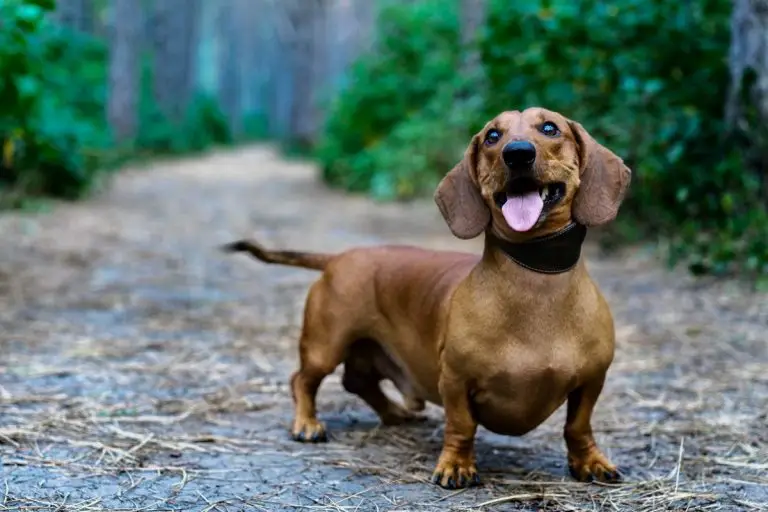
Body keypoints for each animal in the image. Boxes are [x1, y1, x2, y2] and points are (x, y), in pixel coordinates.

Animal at [222, 107, 632, 488]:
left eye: (550, 128)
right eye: (492, 135)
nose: (517, 153)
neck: (536, 277)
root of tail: (339, 257)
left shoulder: (592, 380)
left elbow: (578, 426)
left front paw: (590, 462)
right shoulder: (454, 379)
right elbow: (462, 425)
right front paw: (456, 466)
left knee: (358, 382)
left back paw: (394, 413)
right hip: (326, 345)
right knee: (303, 380)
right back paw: (307, 424)